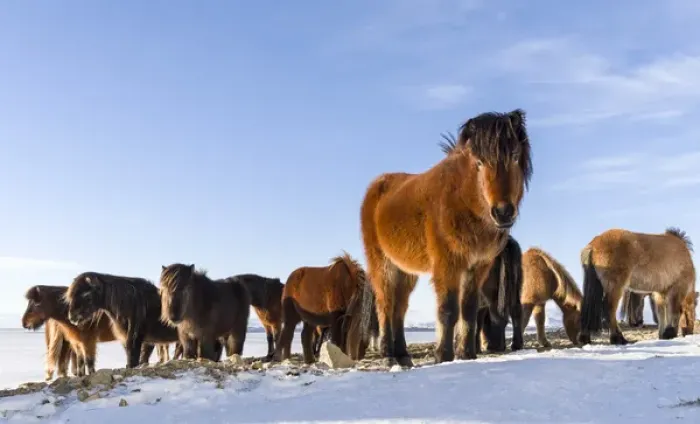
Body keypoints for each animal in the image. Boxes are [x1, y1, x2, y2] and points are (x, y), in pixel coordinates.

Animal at [360, 109, 532, 366]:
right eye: (479, 163)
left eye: (514, 156)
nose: (503, 212)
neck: (462, 201)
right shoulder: (447, 264)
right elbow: (449, 309)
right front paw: (443, 355)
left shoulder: (477, 267)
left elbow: (468, 310)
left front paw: (466, 354)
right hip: (382, 263)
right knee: (386, 304)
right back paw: (388, 353)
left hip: (406, 271)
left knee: (400, 307)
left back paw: (402, 353)